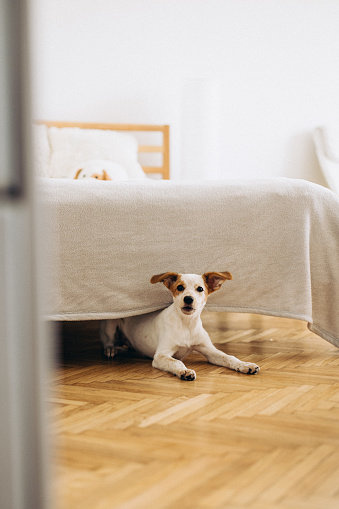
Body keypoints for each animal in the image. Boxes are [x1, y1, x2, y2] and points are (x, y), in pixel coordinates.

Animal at [99, 272, 260, 380]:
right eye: (180, 287)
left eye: (200, 289)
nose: (188, 299)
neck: (187, 325)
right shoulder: (161, 355)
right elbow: (176, 362)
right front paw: (185, 371)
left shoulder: (210, 351)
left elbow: (229, 357)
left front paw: (245, 365)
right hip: (110, 323)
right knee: (108, 340)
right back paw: (111, 349)